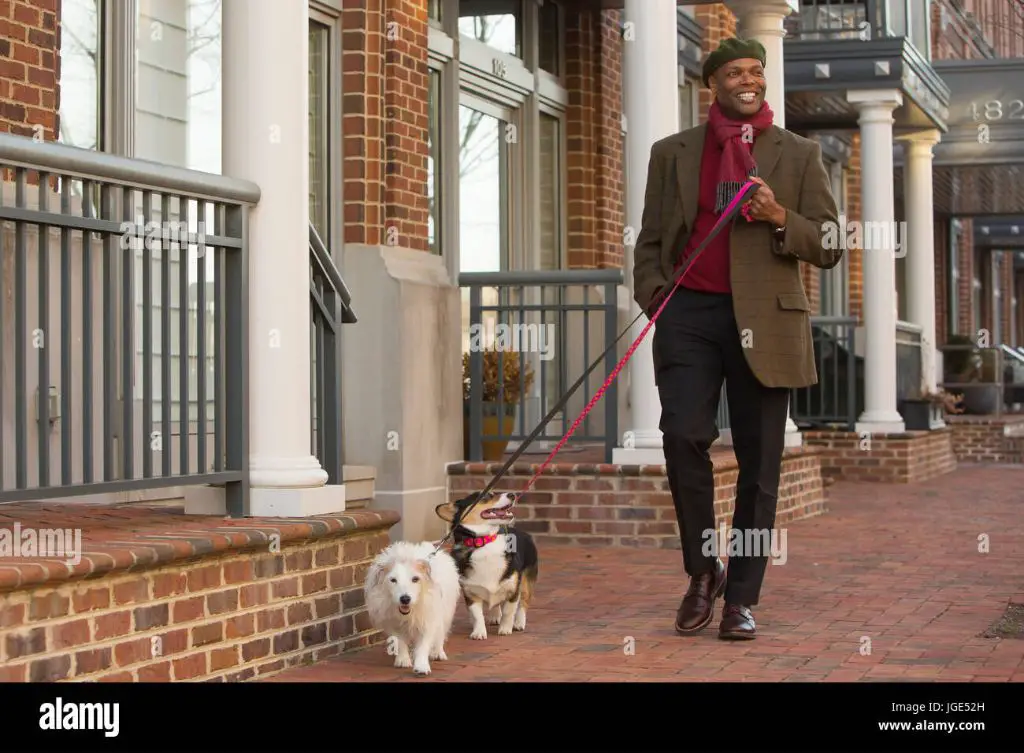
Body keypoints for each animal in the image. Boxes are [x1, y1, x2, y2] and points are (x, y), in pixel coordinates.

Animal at [360, 540, 456, 676]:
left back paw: (437, 652)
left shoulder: (428, 619)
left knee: (441, 632)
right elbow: (400, 641)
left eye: (415, 579)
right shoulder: (393, 623)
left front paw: (421, 666)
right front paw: (403, 660)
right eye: (393, 580)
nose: (405, 599)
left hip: (445, 612)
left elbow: (423, 645)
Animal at [434, 495, 540, 643]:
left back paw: (519, 623)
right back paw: (494, 616)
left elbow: (508, 611)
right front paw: (478, 632)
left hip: (526, 583)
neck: (483, 542)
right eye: (486, 496)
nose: (512, 495)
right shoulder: (470, 593)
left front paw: (505, 629)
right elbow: (477, 615)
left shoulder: (513, 589)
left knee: (524, 602)